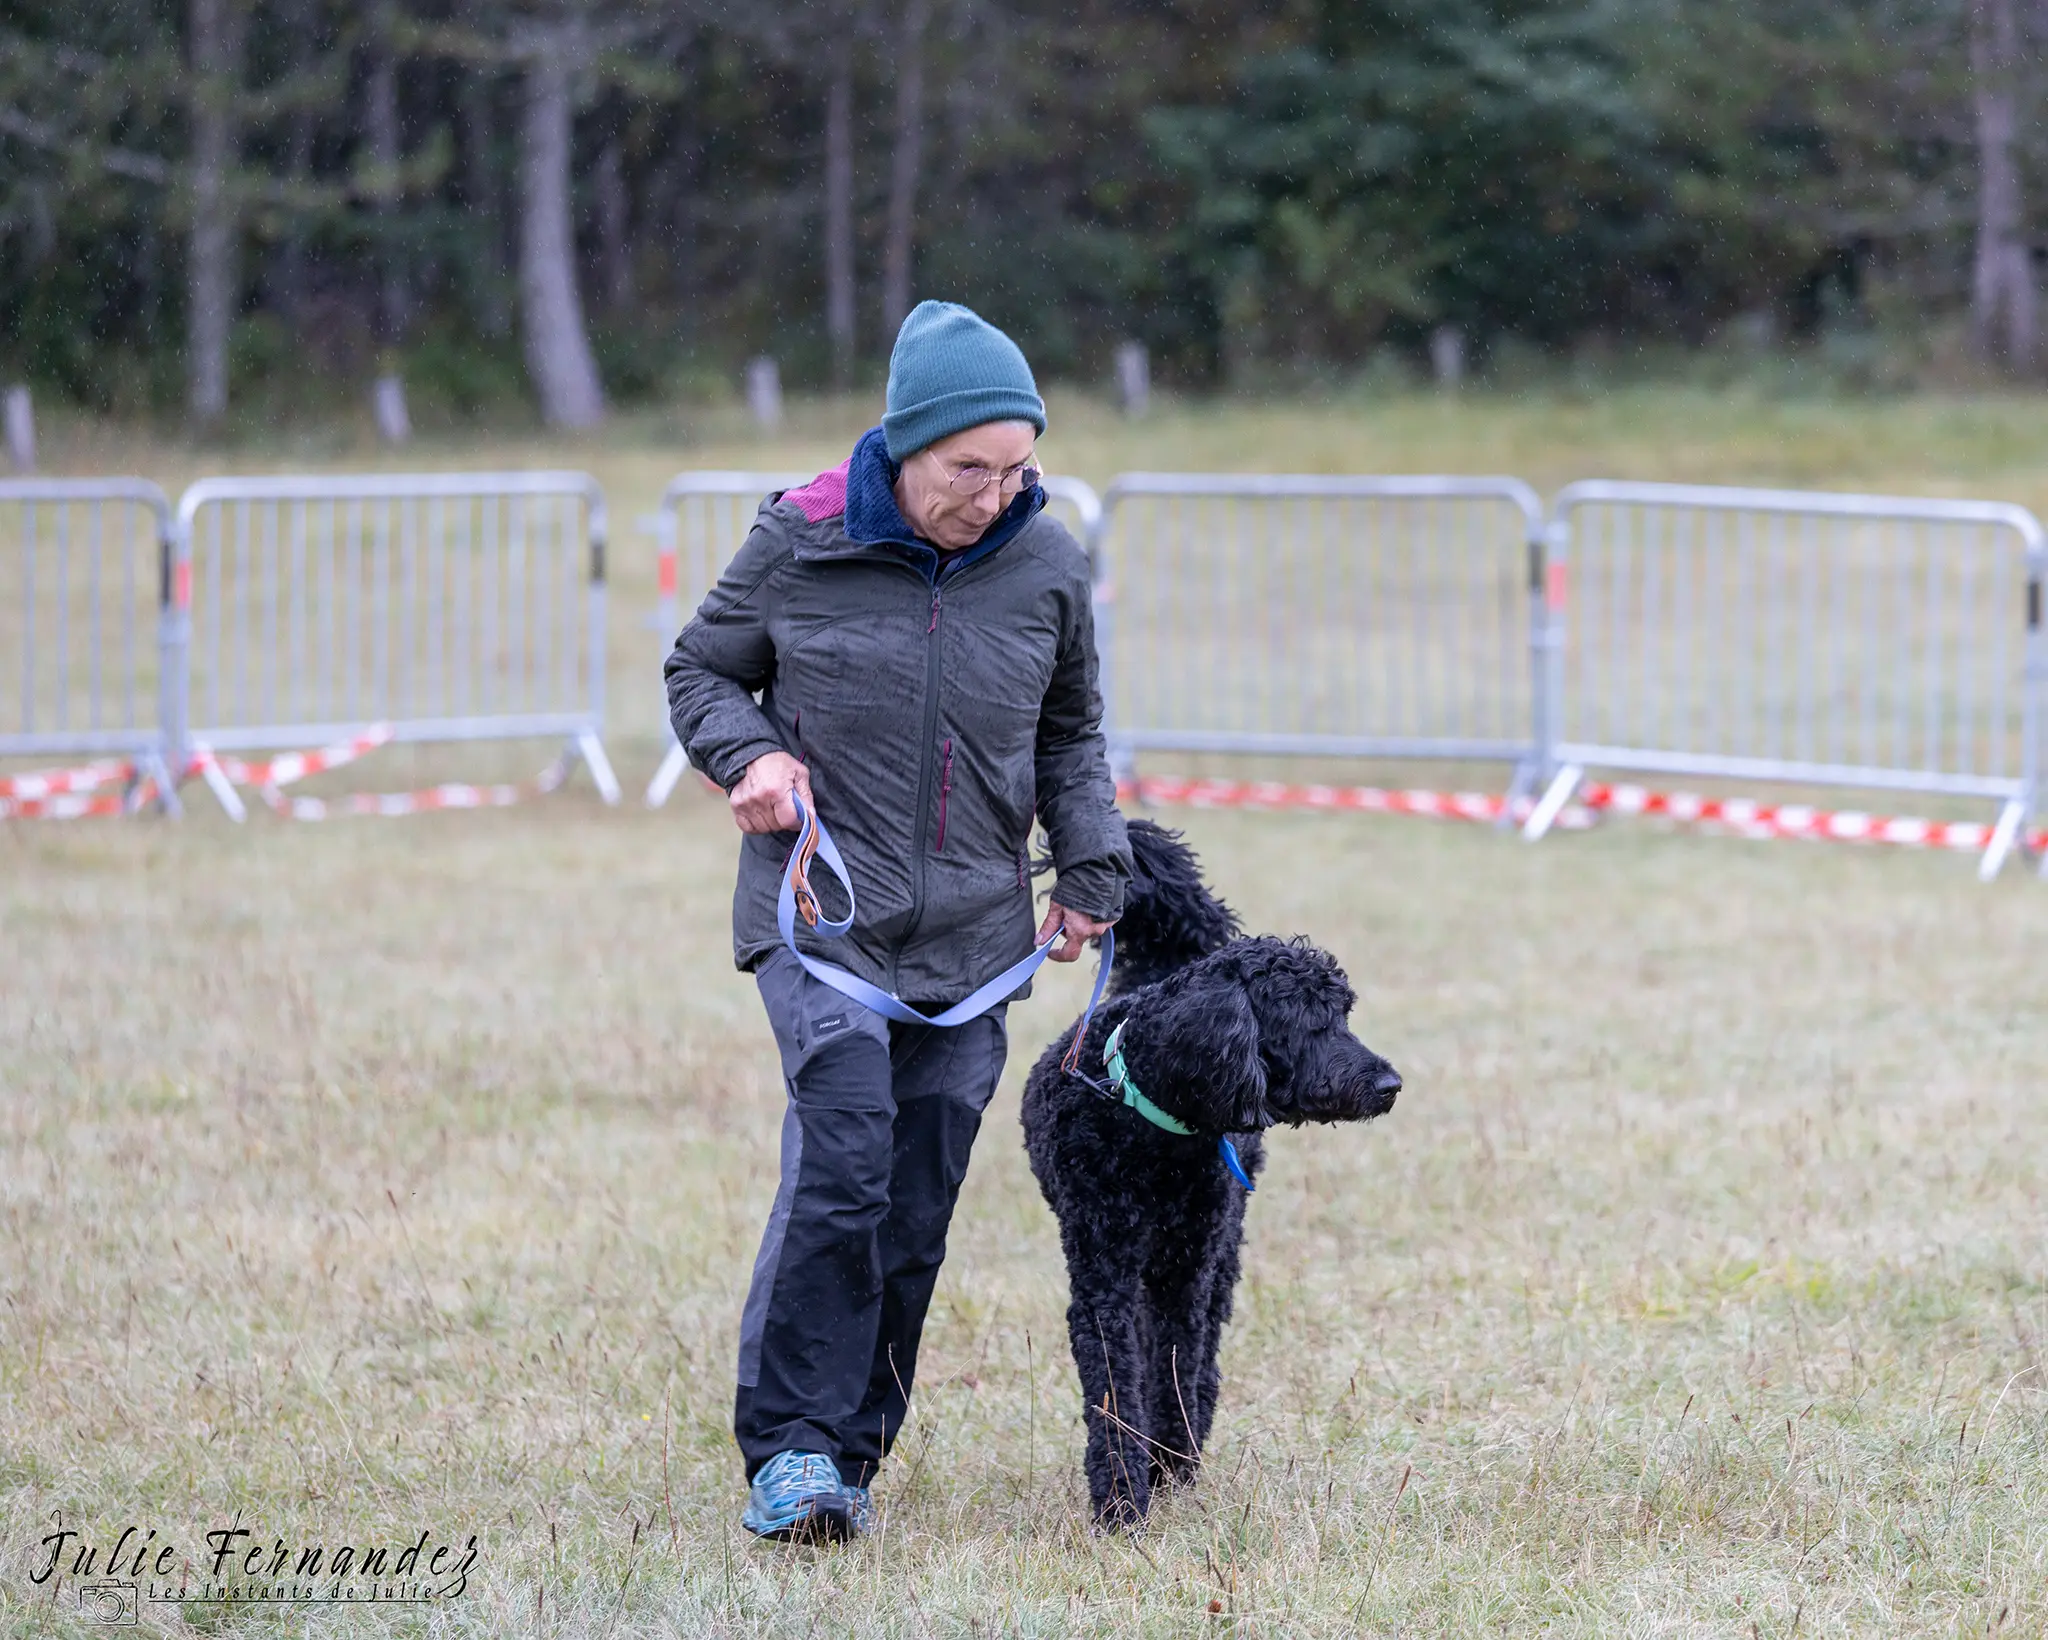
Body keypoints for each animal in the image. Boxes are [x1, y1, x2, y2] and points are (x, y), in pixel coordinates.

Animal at [1019, 827, 1400, 1531]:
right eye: (1311, 1022)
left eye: (1344, 1014)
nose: (1391, 1084)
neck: (1151, 1127)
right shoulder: (1103, 1271)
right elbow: (1116, 1383)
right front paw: (1122, 1498)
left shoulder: (1186, 1266)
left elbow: (1175, 1361)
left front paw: (1171, 1467)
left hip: (1221, 1248)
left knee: (1204, 1353)